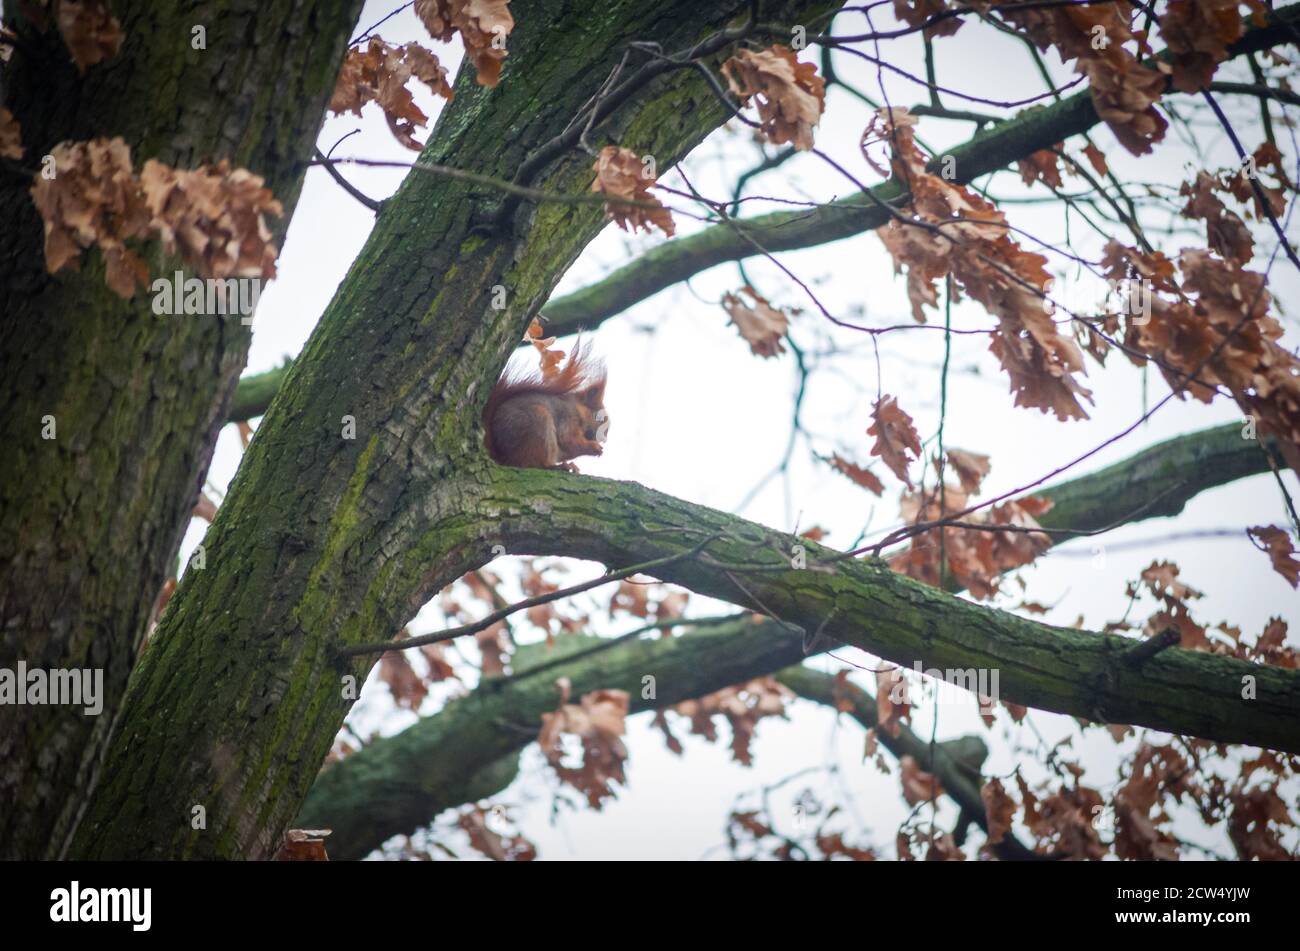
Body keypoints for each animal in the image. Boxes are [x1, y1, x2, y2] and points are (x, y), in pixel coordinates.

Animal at [482, 340, 608, 470]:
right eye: (597, 416)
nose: (603, 438)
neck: (576, 409)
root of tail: (502, 456)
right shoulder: (567, 417)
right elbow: (568, 439)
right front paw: (594, 447)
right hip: (537, 422)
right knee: (531, 463)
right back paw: (557, 466)